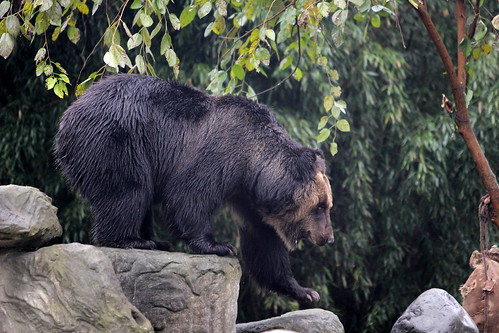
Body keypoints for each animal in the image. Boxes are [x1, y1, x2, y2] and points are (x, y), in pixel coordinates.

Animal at [54, 74, 334, 302]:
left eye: (327, 205)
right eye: (320, 207)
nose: (328, 238)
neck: (253, 166)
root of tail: (68, 115)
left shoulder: (248, 197)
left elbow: (264, 241)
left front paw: (304, 291)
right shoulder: (221, 153)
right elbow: (189, 195)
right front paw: (220, 245)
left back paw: (154, 240)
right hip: (118, 140)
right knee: (127, 190)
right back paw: (133, 240)